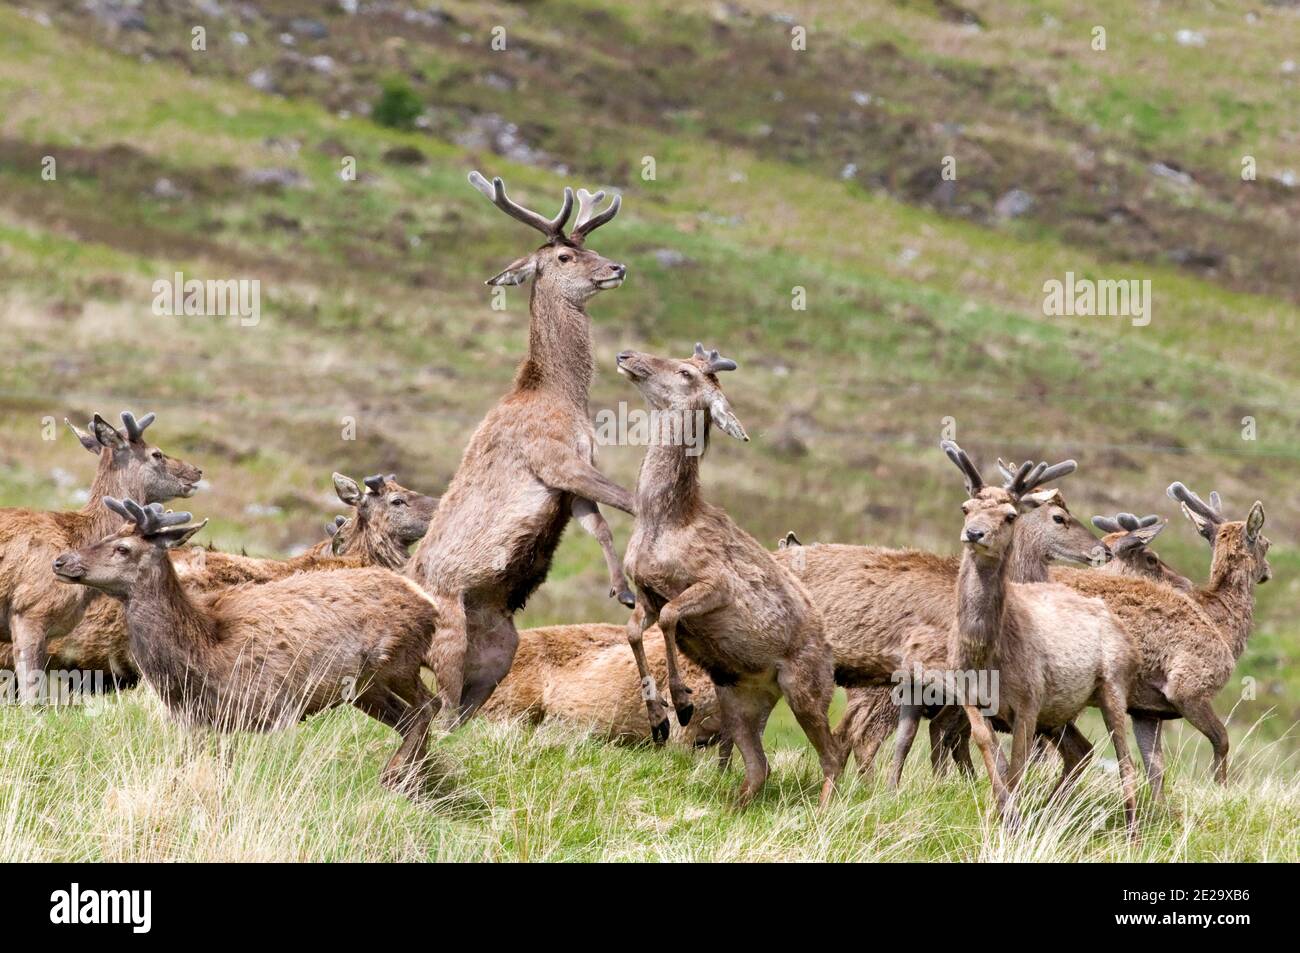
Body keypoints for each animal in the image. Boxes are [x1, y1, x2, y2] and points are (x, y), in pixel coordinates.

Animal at [53, 499, 439, 790]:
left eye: (123, 548)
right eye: (108, 534)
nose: (61, 560)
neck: (200, 651)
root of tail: (427, 602)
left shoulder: (244, 707)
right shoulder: (195, 719)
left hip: (397, 662)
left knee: (428, 706)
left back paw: (398, 774)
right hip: (363, 688)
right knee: (408, 717)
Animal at [408, 172, 637, 722]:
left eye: (590, 246)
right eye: (565, 256)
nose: (617, 267)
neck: (560, 396)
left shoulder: (571, 482)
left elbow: (599, 524)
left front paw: (622, 591)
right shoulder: (553, 458)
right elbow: (629, 500)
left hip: (499, 649)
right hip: (448, 637)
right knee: (439, 711)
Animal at [616, 343, 842, 800]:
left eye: (685, 372)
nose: (627, 355)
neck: (663, 522)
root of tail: (833, 658)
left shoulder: (716, 583)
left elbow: (671, 616)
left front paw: (681, 701)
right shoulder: (645, 592)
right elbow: (633, 632)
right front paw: (658, 720)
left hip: (806, 687)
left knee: (833, 758)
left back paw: (824, 809)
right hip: (741, 697)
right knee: (758, 765)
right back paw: (736, 805)